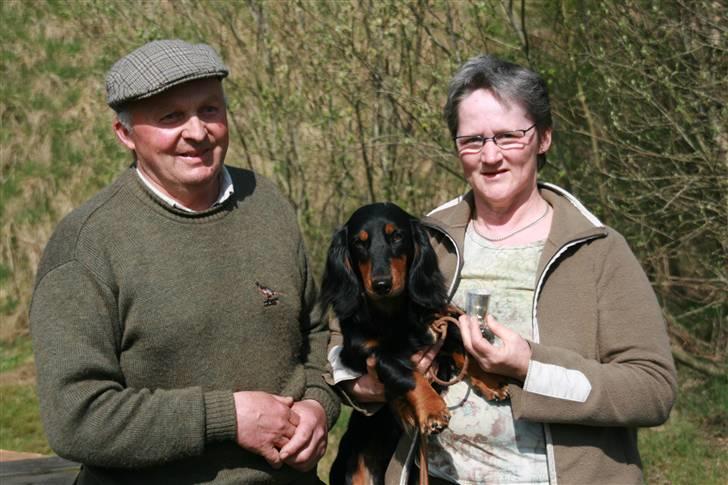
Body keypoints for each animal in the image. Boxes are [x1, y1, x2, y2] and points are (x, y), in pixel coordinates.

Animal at [322, 202, 510, 484]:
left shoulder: (436, 329)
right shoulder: (369, 353)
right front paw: (432, 409)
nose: (381, 284)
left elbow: (463, 350)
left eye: (397, 236)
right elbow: (408, 373)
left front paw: (490, 381)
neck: (392, 314)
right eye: (358, 242)